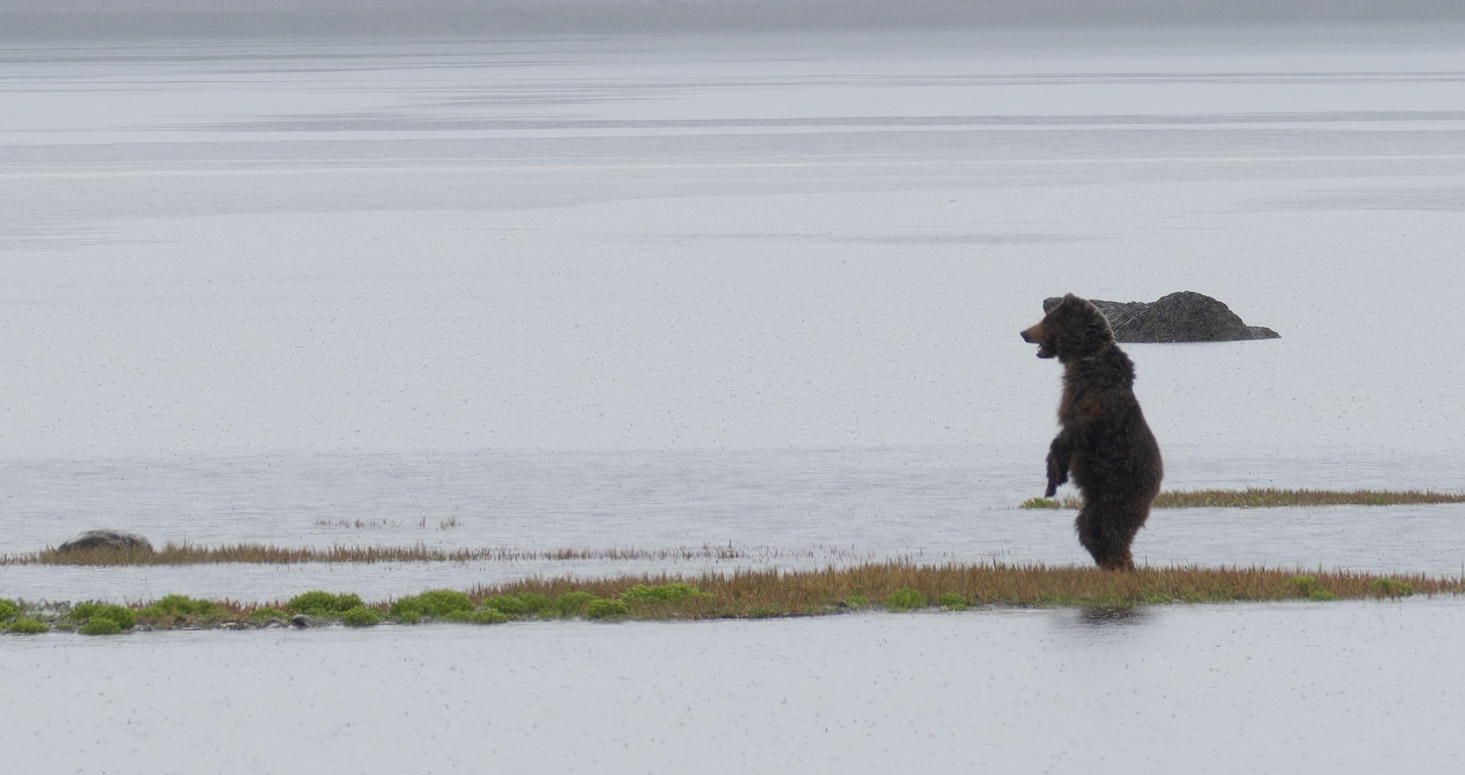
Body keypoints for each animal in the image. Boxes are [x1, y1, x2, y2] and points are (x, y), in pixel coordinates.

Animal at [1020, 294, 1163, 571]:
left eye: (1046, 319)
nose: (1023, 332)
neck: (1084, 358)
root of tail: (1155, 490)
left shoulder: (1091, 402)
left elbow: (1069, 436)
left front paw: (1054, 478)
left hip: (1118, 492)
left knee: (1103, 529)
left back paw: (1117, 563)